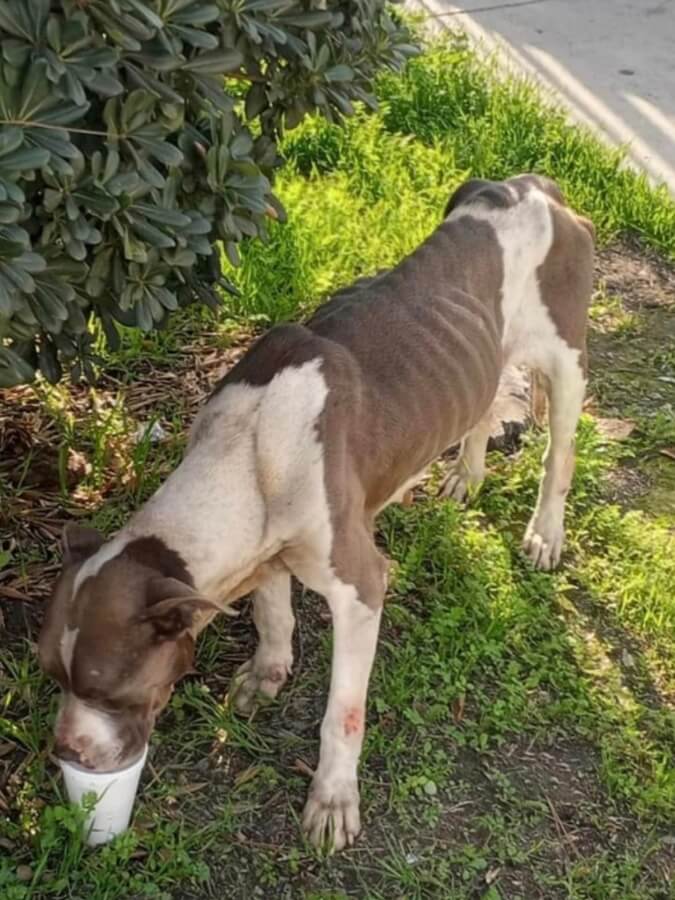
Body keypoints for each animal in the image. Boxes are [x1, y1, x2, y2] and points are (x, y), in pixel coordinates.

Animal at [39, 174, 596, 852]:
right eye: (51, 674)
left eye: (108, 690)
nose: (67, 751)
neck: (244, 454)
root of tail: (529, 184)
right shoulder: (264, 549)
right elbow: (272, 612)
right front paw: (267, 673)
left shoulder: (360, 588)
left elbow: (343, 714)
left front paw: (332, 800)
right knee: (484, 403)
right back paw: (465, 475)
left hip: (566, 360)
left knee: (561, 454)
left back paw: (544, 532)